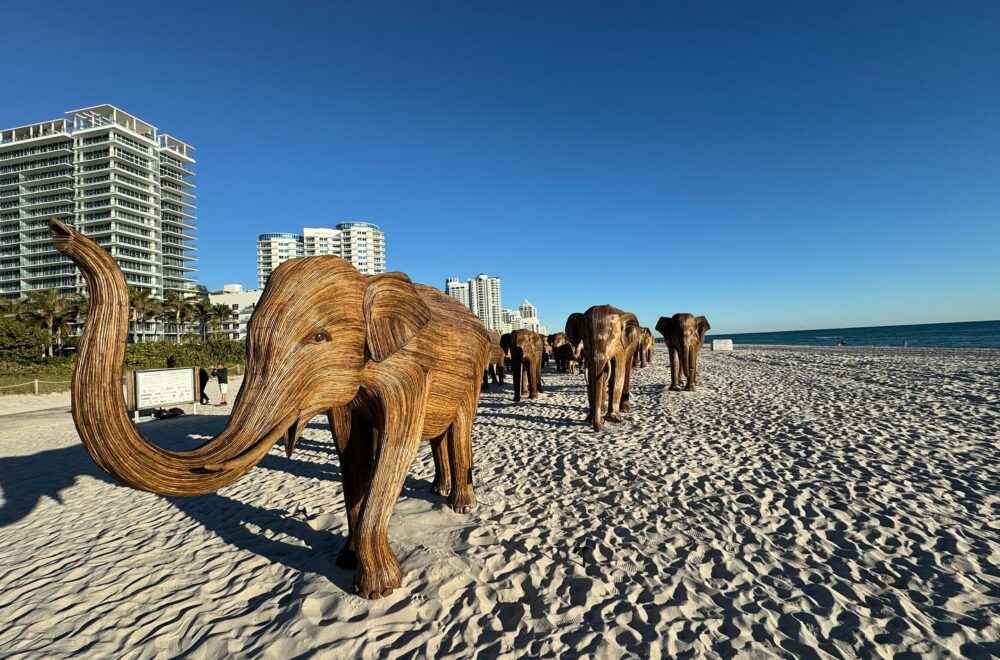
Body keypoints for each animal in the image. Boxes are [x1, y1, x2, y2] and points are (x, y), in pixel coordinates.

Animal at [47, 218, 491, 600]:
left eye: (319, 337)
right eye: (246, 335)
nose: (58, 231)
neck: (368, 283)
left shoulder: (407, 370)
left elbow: (394, 449)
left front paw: (378, 589)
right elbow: (350, 450)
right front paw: (345, 562)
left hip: (474, 371)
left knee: (459, 426)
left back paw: (461, 505)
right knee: (440, 435)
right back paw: (438, 491)